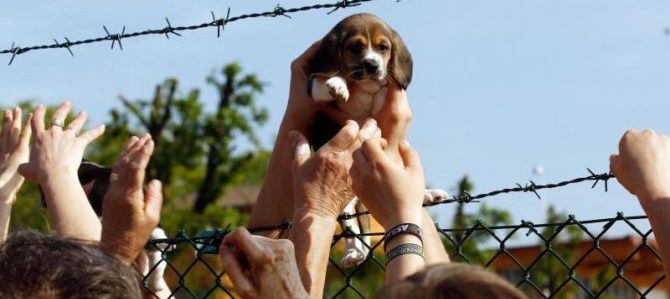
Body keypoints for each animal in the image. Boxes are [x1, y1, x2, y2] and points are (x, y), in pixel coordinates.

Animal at [308, 13, 448, 270]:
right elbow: (324, 82)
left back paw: (426, 194)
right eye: (356, 47)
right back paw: (353, 253)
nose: (373, 65)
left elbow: (383, 91)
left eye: (383, 48)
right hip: (345, 203)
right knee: (352, 228)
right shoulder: (313, 89)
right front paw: (339, 82)